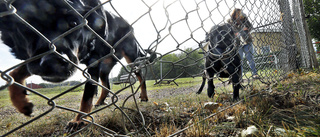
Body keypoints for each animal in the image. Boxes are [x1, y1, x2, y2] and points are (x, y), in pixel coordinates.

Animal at [0, 0, 154, 131]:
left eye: (73, 22)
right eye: (25, 26)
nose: (51, 63)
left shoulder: (92, 65)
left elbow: (86, 96)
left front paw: (79, 120)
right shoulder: (36, 59)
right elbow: (15, 72)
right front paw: (21, 102)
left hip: (131, 57)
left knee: (140, 76)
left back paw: (144, 96)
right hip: (105, 66)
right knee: (107, 85)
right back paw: (100, 101)